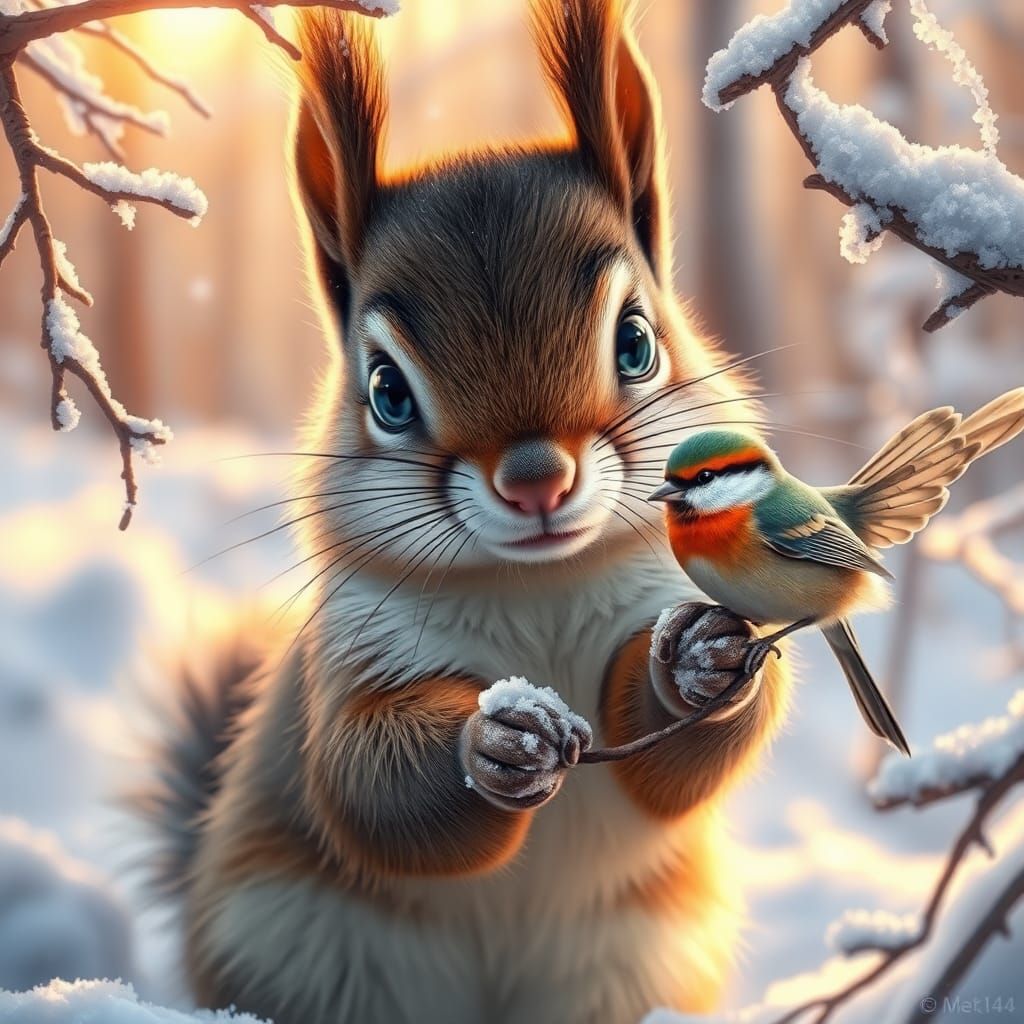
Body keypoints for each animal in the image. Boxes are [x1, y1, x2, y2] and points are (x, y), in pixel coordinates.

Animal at [137, 2, 791, 1022]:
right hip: (312, 957)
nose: (535, 480)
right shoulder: (354, 658)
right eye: (386, 391)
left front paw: (695, 665)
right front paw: (497, 740)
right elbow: (363, 782)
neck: (541, 585)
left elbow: (678, 761)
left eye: (637, 342)